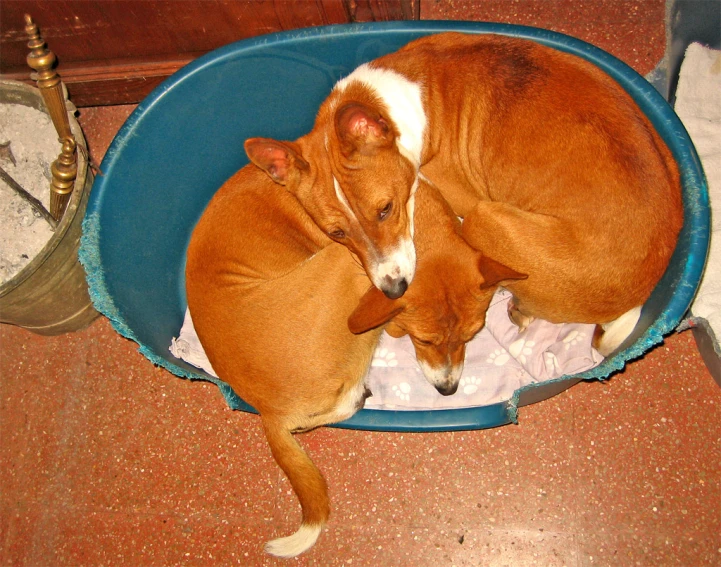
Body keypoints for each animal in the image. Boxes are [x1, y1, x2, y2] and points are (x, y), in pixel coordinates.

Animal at [248, 32, 680, 356]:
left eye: (386, 210)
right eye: (336, 234)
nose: (393, 289)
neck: (403, 104)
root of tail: (641, 289)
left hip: (484, 216)